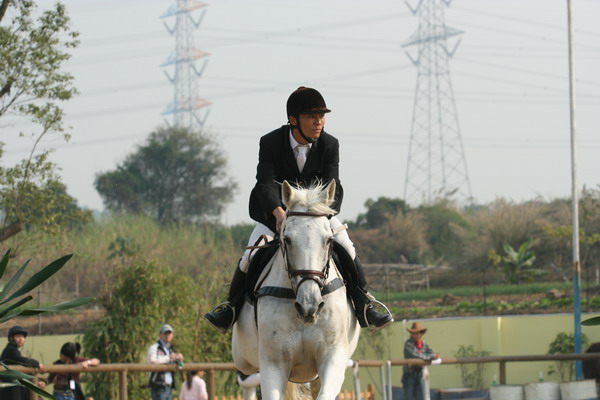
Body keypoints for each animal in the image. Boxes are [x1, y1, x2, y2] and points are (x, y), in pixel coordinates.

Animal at [232, 180, 358, 400]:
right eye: (288, 239)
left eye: (328, 240)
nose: (309, 306)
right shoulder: (273, 364)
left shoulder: (332, 357)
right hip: (245, 364)